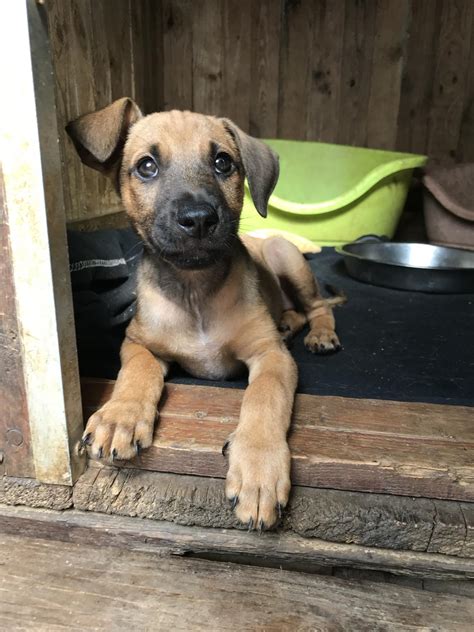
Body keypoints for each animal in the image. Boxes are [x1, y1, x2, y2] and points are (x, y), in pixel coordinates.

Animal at [66, 99, 340, 532]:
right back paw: (288, 323)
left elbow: (264, 397)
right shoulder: (138, 342)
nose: (197, 219)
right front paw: (119, 417)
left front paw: (258, 470)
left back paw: (321, 335)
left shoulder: (272, 356)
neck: (194, 288)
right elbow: (137, 373)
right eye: (146, 166)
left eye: (223, 162)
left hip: (287, 257)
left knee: (317, 306)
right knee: (295, 311)